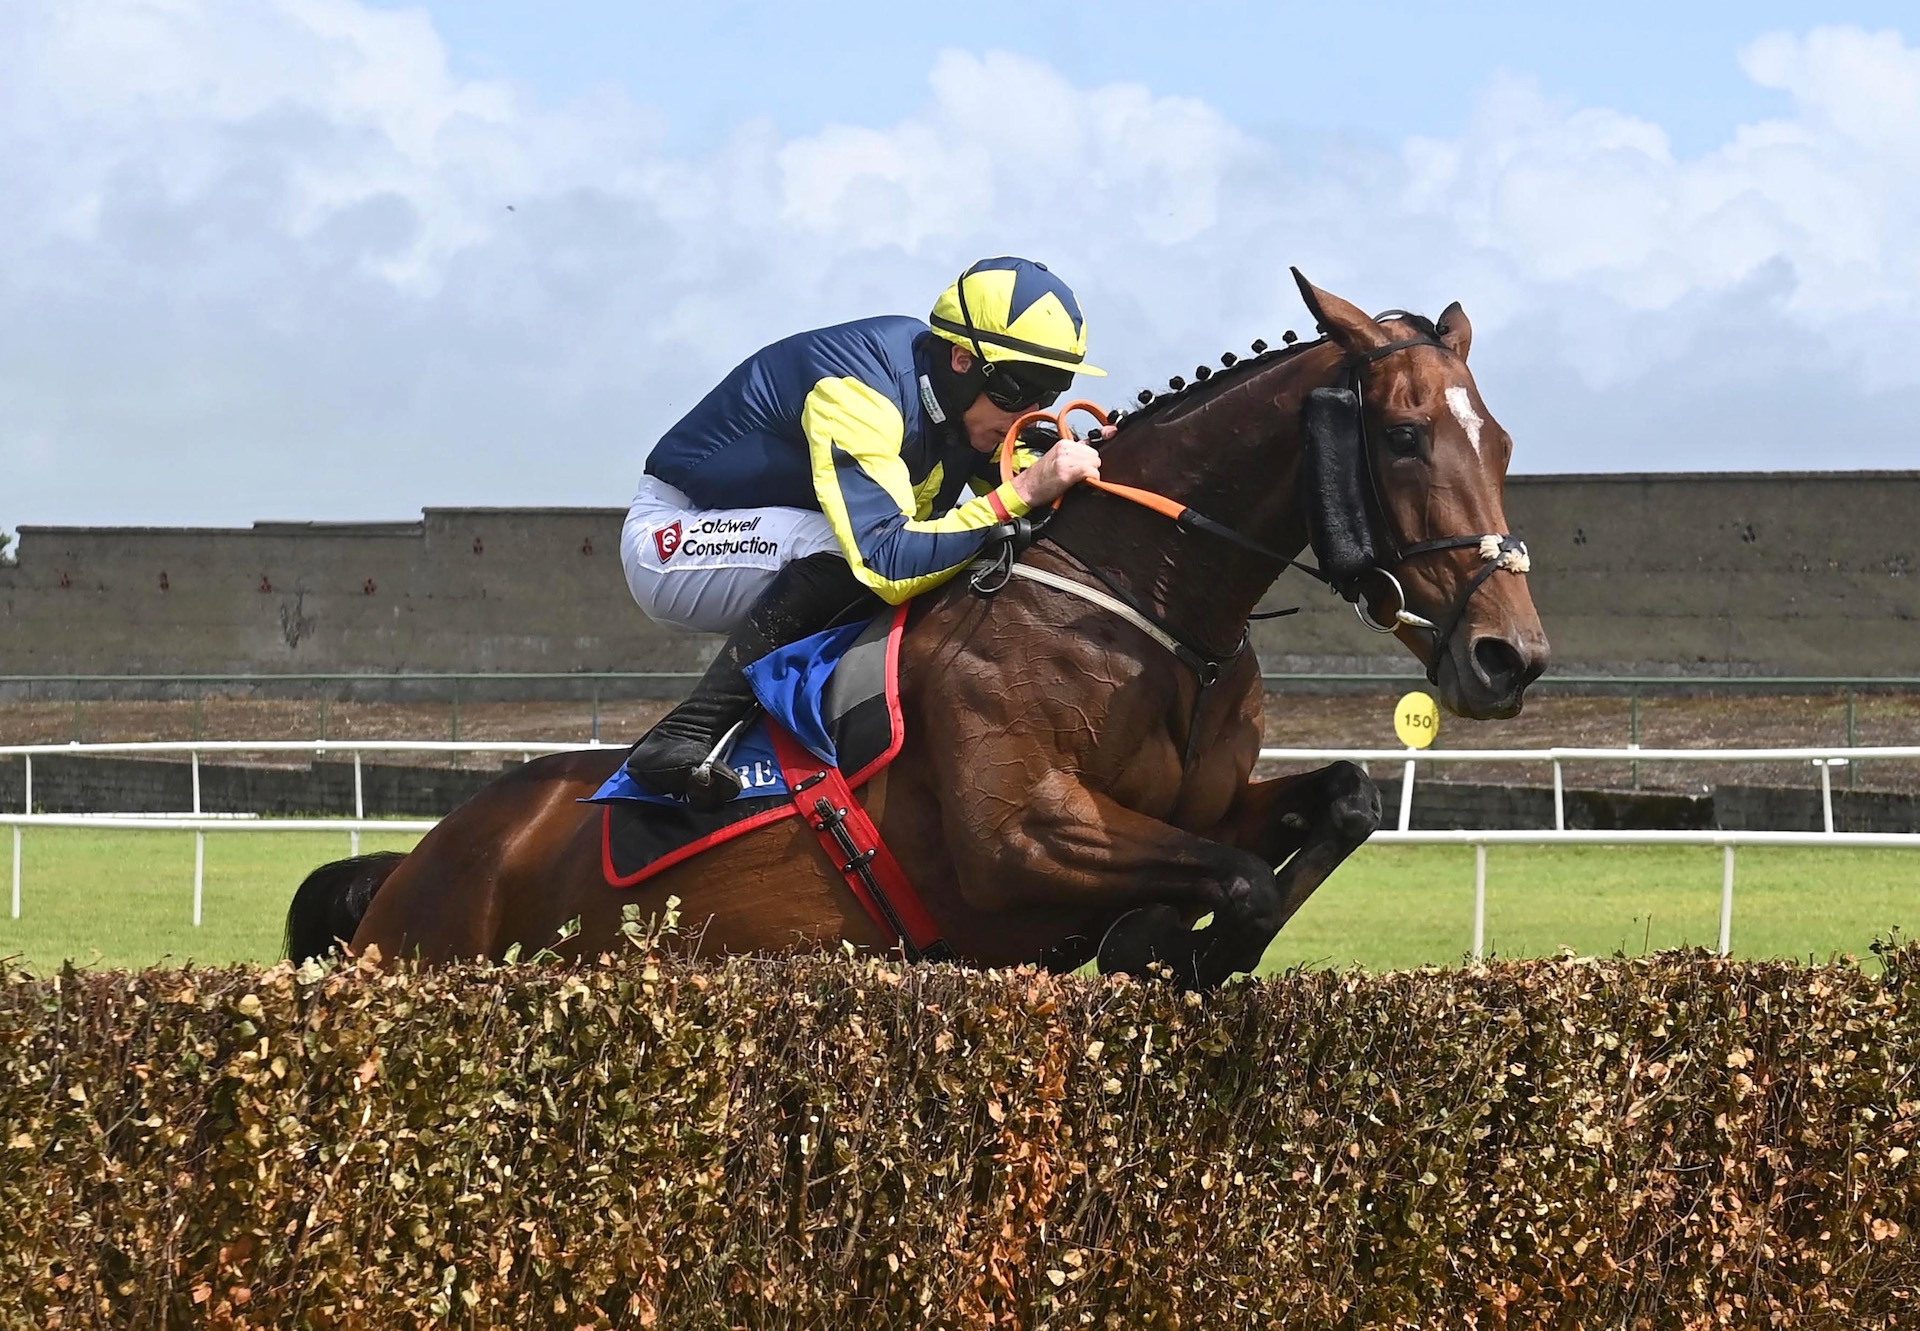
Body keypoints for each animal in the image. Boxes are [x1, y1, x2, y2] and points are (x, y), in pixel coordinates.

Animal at [280, 272, 1543, 983]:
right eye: (1403, 437)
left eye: (1502, 441)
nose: (1510, 654)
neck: (1144, 614)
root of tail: (416, 862)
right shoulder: (1021, 838)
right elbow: (1236, 880)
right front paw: (1165, 943)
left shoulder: (1195, 803)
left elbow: (1342, 800)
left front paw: (1173, 942)